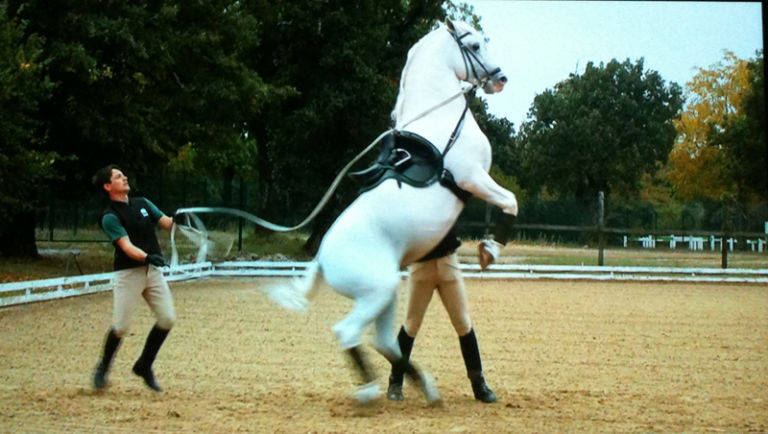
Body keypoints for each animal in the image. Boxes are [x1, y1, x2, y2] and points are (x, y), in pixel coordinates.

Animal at [268, 20, 516, 406]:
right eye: (475, 45)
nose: (500, 78)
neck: (441, 118)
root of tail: (322, 258)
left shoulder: (476, 182)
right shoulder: (474, 178)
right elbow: (510, 201)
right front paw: (489, 251)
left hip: (386, 296)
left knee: (386, 341)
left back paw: (424, 388)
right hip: (376, 292)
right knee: (348, 332)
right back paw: (370, 390)